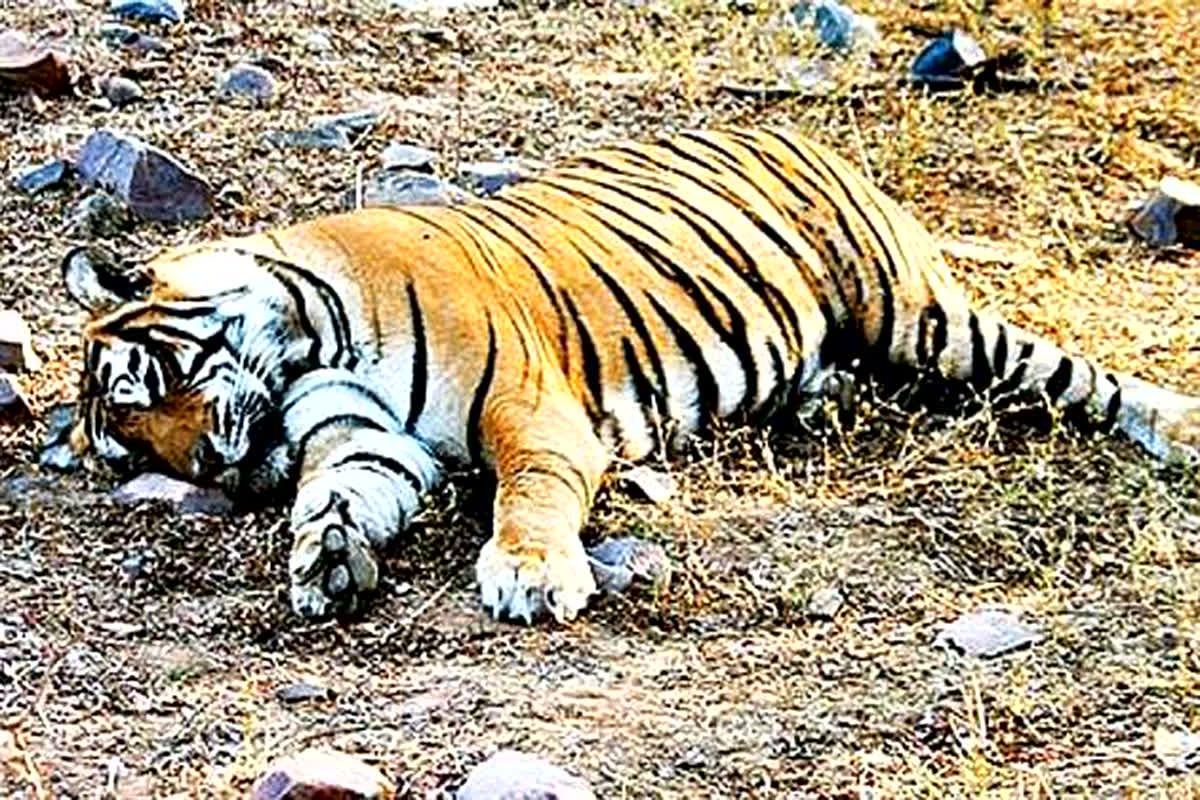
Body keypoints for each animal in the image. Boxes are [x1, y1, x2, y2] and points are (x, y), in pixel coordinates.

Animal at [47, 126, 1200, 624]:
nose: (215, 469)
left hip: (922, 316)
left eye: (145, 389)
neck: (308, 343)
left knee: (1073, 372)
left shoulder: (531, 408)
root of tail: (791, 127)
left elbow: (527, 494)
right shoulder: (364, 440)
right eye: (134, 447)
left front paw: (529, 574)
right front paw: (325, 559)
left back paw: (1177, 424)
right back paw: (825, 399)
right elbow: (336, 494)